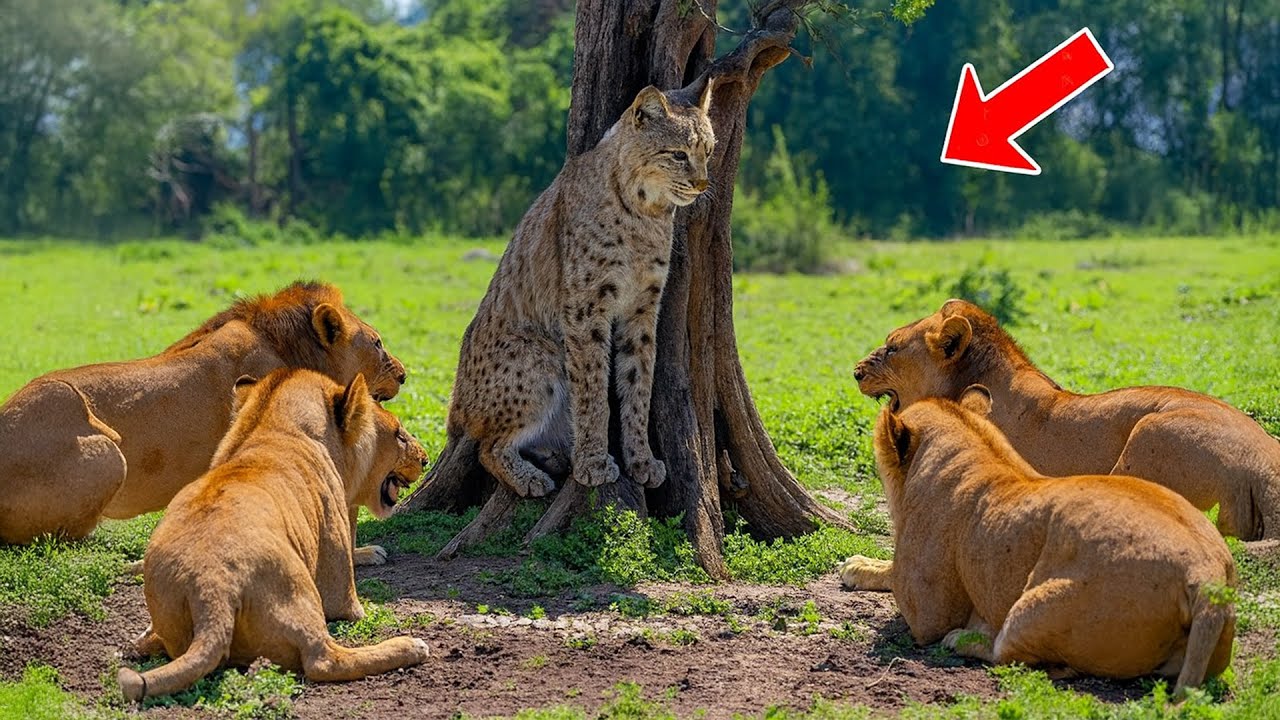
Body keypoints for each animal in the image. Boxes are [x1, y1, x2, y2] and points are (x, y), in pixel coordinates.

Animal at [117, 369, 430, 702]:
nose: (425, 459)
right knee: (326, 660)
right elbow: (355, 607)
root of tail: (211, 590)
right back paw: (410, 646)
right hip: (301, 594)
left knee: (154, 641)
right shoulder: (339, 583)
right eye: (399, 434)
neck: (269, 424)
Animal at [858, 388, 1236, 696]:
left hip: (1031, 607)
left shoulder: (929, 613)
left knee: (1014, 655)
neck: (973, 444)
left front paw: (858, 567)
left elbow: (895, 579)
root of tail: (1205, 574)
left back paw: (965, 639)